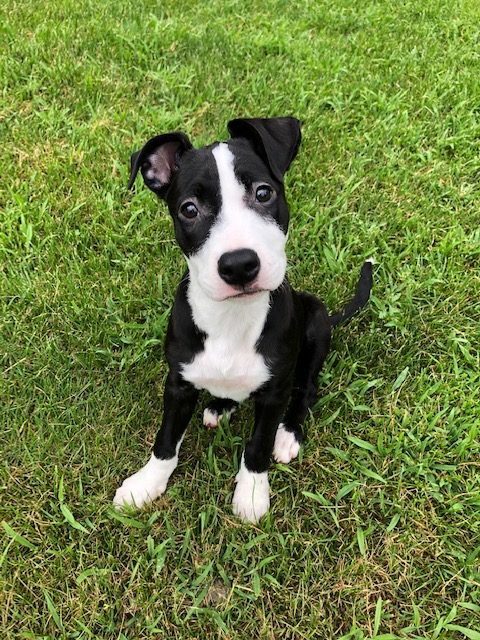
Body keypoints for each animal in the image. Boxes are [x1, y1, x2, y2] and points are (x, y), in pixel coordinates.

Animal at [114, 117, 374, 524]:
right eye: (189, 209)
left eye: (263, 193)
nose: (238, 265)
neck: (232, 317)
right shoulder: (178, 384)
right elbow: (166, 440)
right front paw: (146, 484)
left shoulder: (273, 393)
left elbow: (258, 445)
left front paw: (251, 492)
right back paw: (220, 406)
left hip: (315, 321)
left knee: (306, 390)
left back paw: (288, 434)